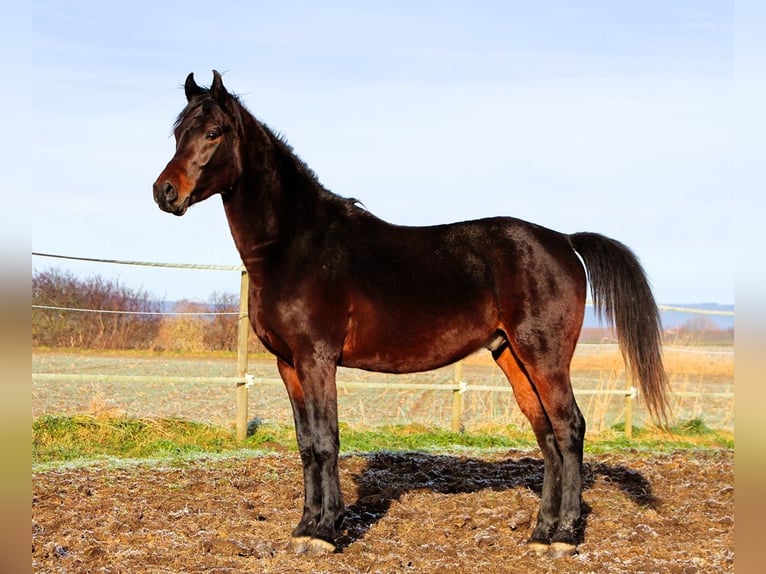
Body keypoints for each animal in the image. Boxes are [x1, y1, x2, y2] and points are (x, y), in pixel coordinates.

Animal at [153, 70, 668, 560]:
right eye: (177, 133)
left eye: (214, 132)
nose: (165, 192)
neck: (296, 244)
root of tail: (563, 240)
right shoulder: (289, 364)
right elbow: (305, 445)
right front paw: (305, 528)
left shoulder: (317, 360)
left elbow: (325, 440)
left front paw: (325, 532)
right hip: (512, 355)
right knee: (547, 437)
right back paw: (541, 534)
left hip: (545, 357)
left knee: (569, 429)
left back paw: (564, 536)